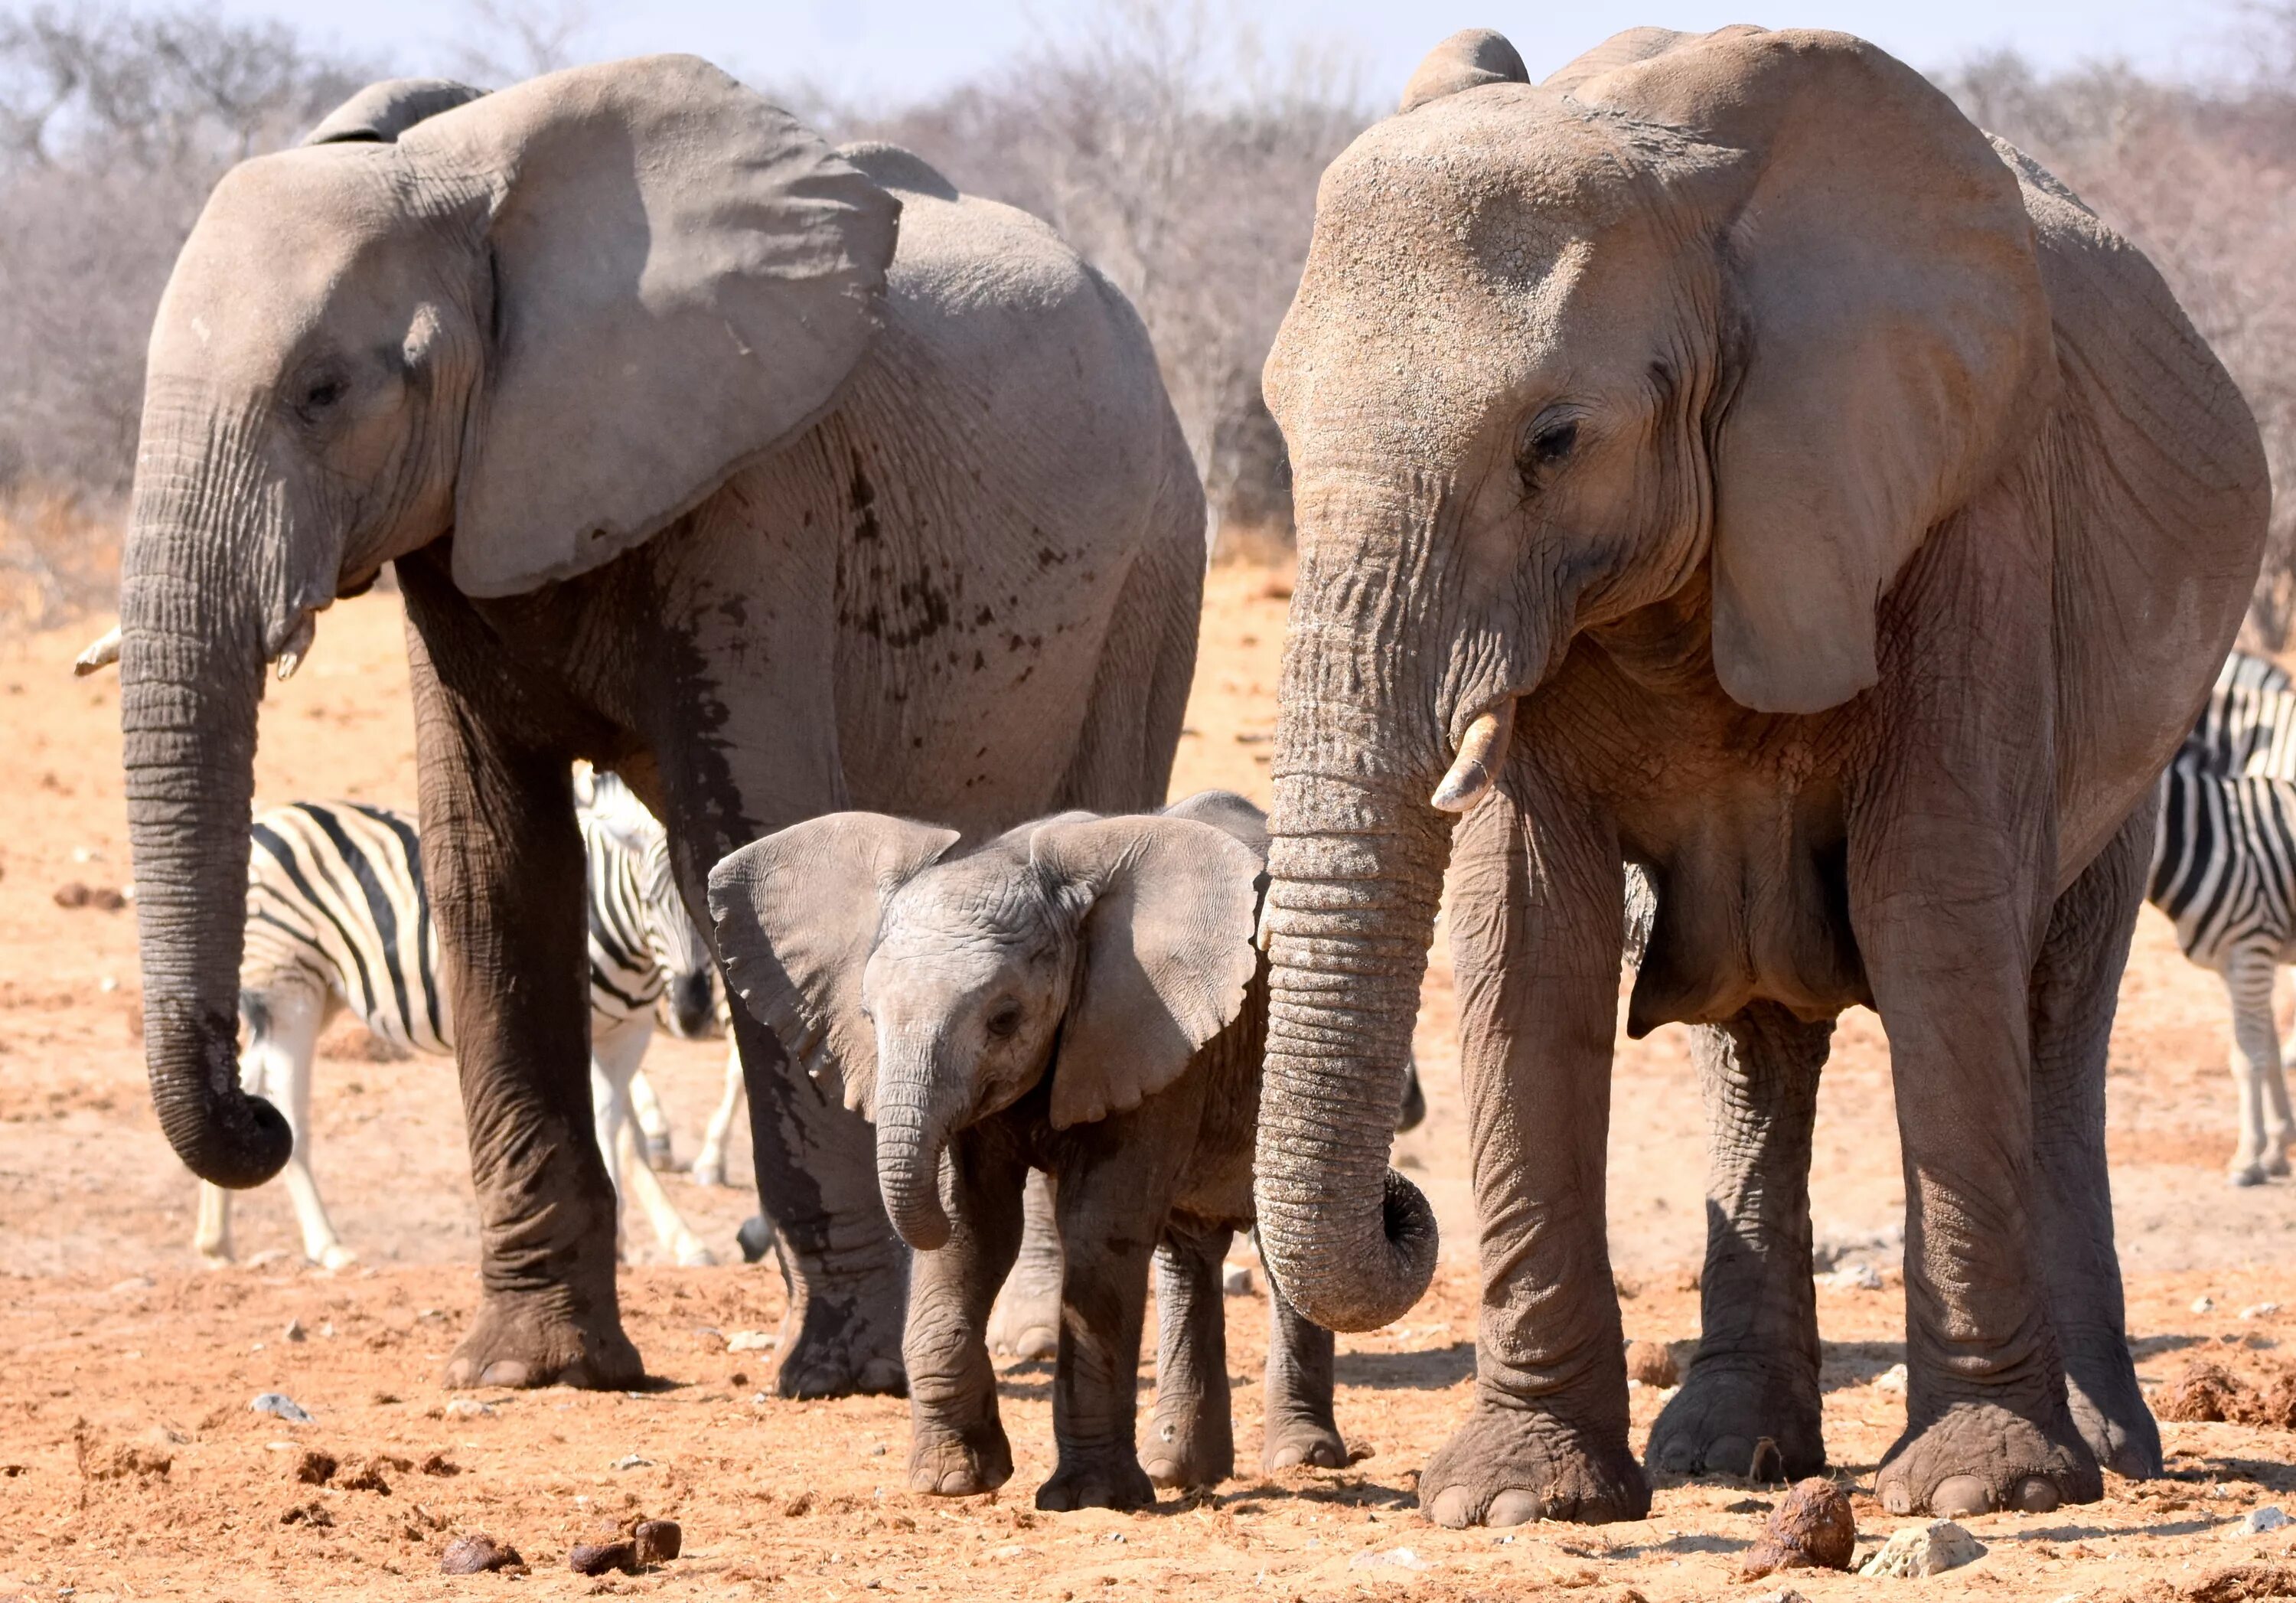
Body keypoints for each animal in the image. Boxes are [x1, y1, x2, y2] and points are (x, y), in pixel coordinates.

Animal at [196, 781, 721, 1268]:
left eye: (705, 905)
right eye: (648, 900)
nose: (694, 1010)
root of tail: (267, 820)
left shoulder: (631, 1032)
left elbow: (616, 1125)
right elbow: (607, 1126)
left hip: (314, 994)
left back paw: (216, 1241)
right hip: (290, 991)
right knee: (288, 1108)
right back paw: (327, 1245)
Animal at [707, 795, 1368, 1507]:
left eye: (1004, 1020)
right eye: (868, 1016)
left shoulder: (1148, 1034)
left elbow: (1095, 1228)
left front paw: (1091, 1500)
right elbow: (976, 1231)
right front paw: (955, 1481)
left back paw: (1300, 1459)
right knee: (1186, 1249)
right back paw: (1181, 1472)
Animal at [1249, 21, 2268, 1525]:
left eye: (1554, 441)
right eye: (1280, 424)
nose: (1398, 1198)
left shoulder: (1968, 503)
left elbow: (1932, 906)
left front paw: (1980, 1486)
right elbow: (1531, 930)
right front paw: (1520, 1499)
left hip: (2137, 726)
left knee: (2051, 1011)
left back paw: (2103, 1448)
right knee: (1755, 1031)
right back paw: (1728, 1454)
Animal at [2149, 643, 2296, 1176]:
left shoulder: (2254, 949)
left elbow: (2249, 1057)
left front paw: (2250, 1157)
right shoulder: (2237, 964)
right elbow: (2259, 1050)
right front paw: (2277, 1146)